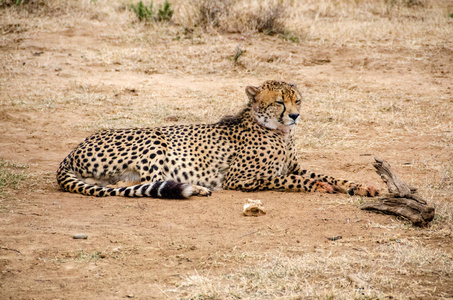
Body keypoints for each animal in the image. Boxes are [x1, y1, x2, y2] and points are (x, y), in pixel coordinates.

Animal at [58, 79, 380, 198]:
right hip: (154, 138)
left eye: (297, 100)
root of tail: (72, 151)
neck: (279, 133)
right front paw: (319, 187)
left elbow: (329, 175)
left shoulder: (295, 166)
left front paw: (362, 187)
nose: (295, 116)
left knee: (122, 184)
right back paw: (195, 188)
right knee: (137, 183)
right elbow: (288, 179)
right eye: (279, 102)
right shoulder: (240, 179)